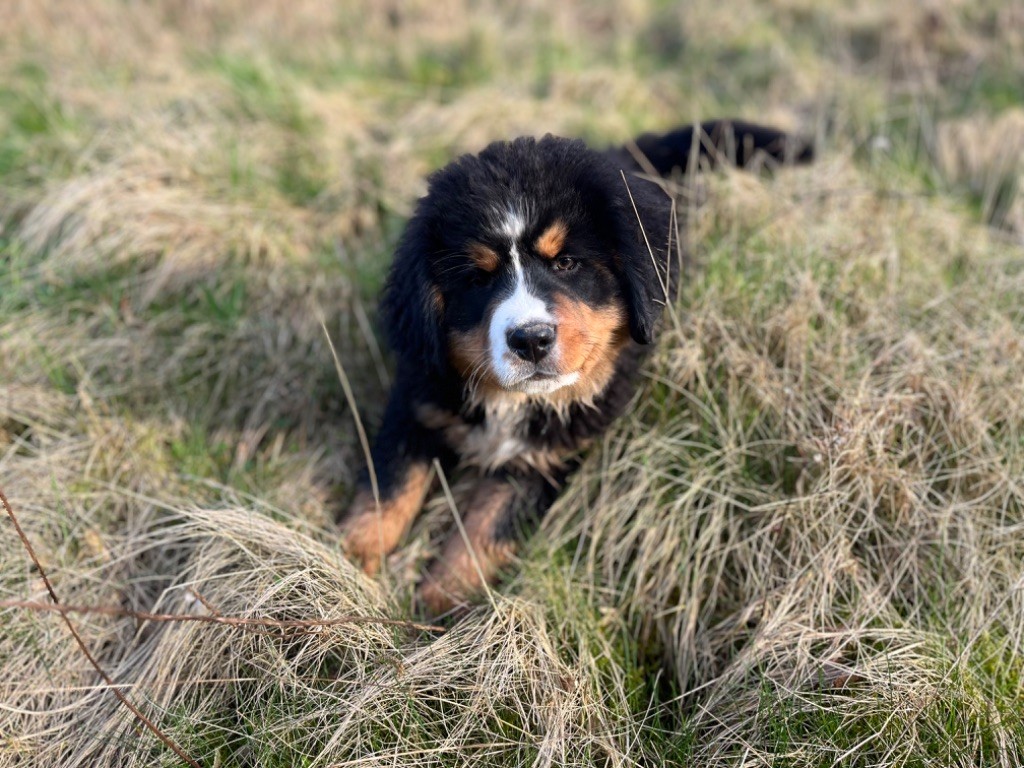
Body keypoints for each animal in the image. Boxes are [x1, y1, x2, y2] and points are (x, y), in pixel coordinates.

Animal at [339, 119, 813, 615]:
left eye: (566, 262)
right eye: (479, 278)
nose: (530, 339)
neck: (513, 403)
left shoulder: (545, 459)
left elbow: (486, 528)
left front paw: (439, 602)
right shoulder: (419, 401)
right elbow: (388, 486)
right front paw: (347, 561)